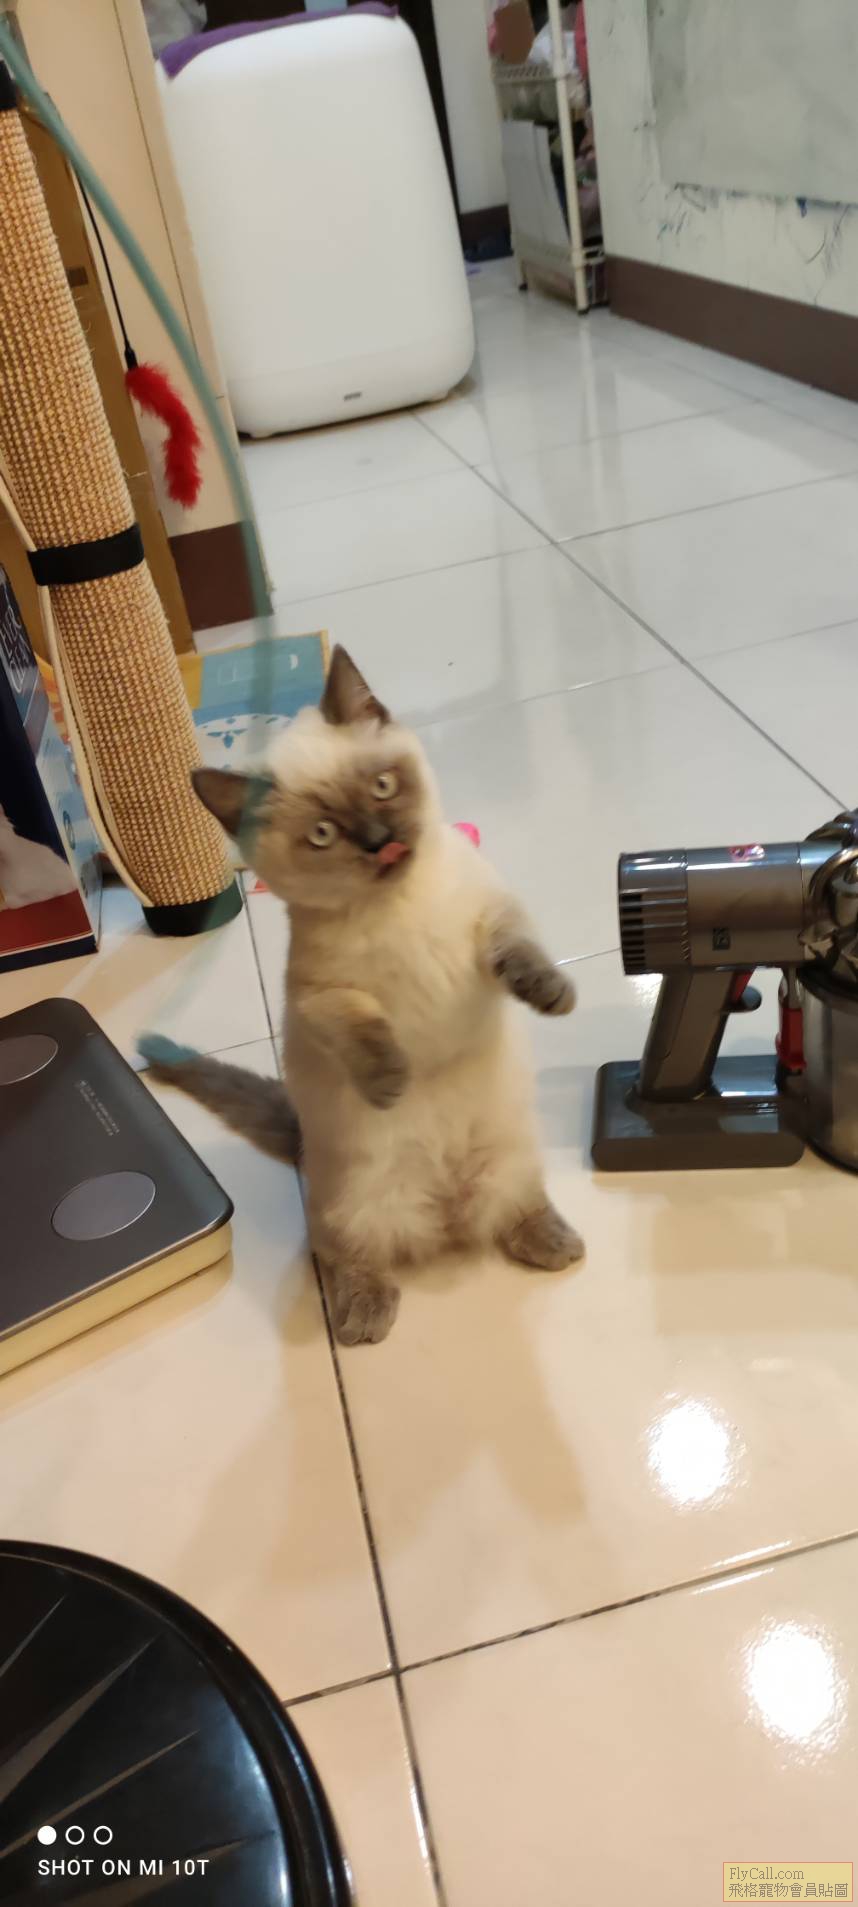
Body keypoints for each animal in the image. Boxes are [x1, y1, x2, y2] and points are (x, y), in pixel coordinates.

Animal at [140, 647, 583, 1345]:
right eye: (324, 834)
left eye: (382, 787)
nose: (379, 839)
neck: (398, 908)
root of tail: (445, 1214)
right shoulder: (318, 998)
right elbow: (365, 1028)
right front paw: (390, 1084)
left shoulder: (493, 918)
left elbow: (522, 954)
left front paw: (552, 994)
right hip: (353, 1203)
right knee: (350, 1255)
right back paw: (360, 1319)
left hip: (507, 1158)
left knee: (516, 1209)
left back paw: (556, 1243)